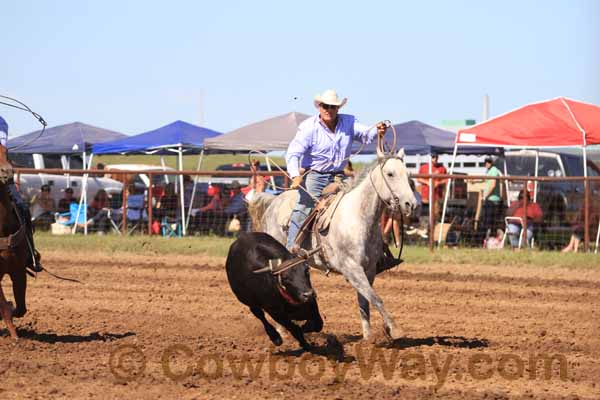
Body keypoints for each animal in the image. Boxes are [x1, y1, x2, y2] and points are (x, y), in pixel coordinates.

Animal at [248, 145, 418, 340]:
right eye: (390, 174)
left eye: (408, 174)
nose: (411, 204)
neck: (358, 217)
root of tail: (273, 201)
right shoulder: (351, 268)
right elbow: (375, 298)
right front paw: (395, 330)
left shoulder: (369, 269)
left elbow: (365, 301)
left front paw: (367, 338)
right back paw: (282, 331)